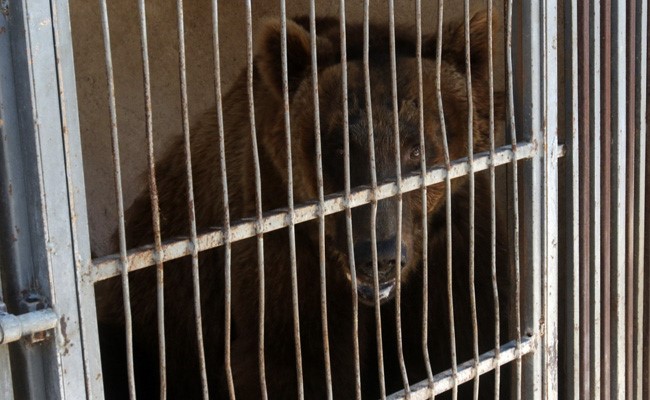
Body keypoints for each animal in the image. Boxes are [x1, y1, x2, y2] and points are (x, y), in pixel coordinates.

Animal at [95, 10, 509, 400]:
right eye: (339, 149)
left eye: (416, 148)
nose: (378, 256)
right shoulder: (284, 244)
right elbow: (298, 361)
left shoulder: (454, 240)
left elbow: (468, 343)